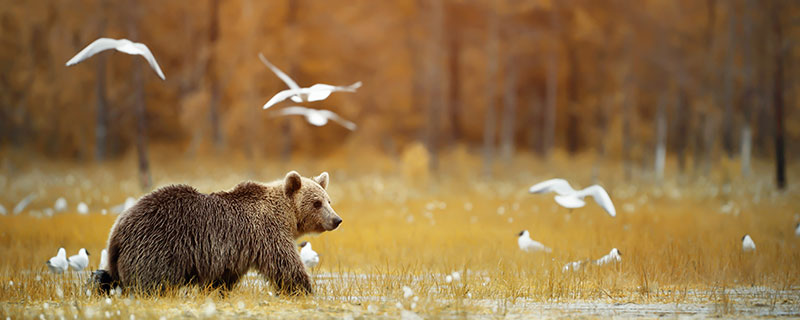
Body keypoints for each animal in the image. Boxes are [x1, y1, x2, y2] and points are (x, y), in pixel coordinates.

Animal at [93, 170, 340, 296]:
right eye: (316, 203)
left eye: (329, 200)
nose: (336, 220)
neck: (286, 217)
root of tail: (117, 230)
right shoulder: (267, 233)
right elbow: (285, 265)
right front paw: (305, 289)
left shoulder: (233, 252)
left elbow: (222, 278)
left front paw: (216, 291)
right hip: (158, 245)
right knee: (152, 281)